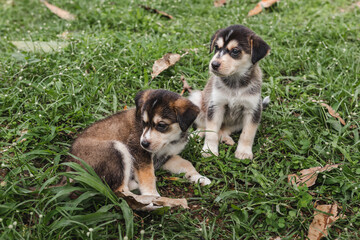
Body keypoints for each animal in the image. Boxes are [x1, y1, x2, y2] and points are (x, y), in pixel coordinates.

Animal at [67, 89, 211, 198]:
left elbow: (186, 164)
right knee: (119, 190)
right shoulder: (139, 153)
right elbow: (148, 176)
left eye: (161, 125)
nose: (144, 143)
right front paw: (153, 196)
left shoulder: (166, 156)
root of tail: (69, 167)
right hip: (116, 149)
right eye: (143, 122)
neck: (170, 141)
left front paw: (199, 177)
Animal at [188, 24, 270, 159]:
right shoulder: (216, 106)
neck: (234, 84)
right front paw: (209, 150)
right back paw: (194, 135)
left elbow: (247, 134)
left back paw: (226, 138)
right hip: (197, 100)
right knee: (203, 126)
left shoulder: (252, 110)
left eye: (235, 51)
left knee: (224, 129)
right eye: (216, 47)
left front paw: (243, 152)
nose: (214, 64)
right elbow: (211, 132)